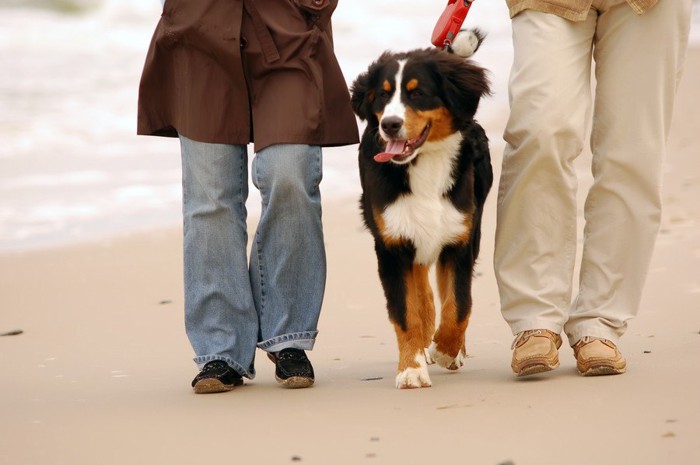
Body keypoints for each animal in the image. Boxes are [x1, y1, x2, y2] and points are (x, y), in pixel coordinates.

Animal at [350, 27, 492, 386]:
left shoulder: (459, 239)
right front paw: (411, 368)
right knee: (423, 294)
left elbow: (460, 306)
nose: (390, 124)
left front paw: (447, 349)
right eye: (382, 96)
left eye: (418, 93)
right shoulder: (392, 244)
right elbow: (406, 313)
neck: (423, 163)